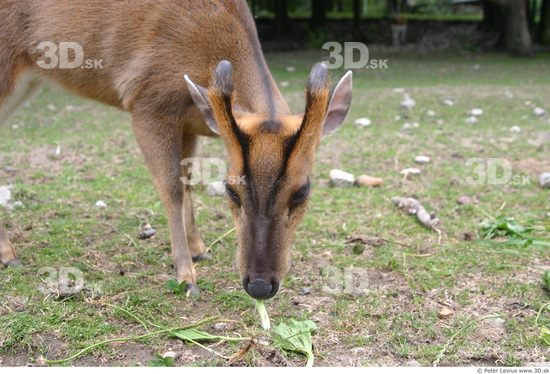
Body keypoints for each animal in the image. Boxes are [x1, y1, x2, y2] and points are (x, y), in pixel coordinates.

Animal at [0, 0, 354, 298]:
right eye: (230, 189)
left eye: (302, 190)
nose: (259, 285)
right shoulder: (146, 103)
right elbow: (170, 187)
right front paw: (187, 277)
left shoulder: (189, 121)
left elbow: (187, 180)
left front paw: (199, 248)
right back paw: (9, 254)